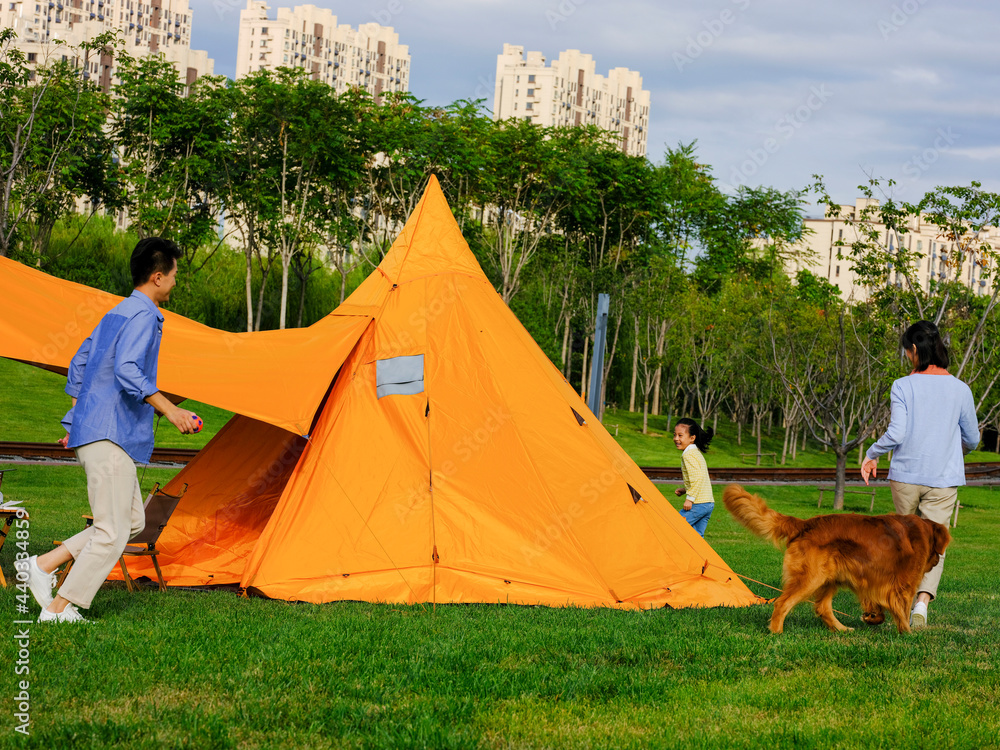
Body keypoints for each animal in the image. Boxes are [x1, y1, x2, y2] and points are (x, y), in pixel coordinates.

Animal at [724, 488, 948, 636]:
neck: (923, 531)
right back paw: (776, 632)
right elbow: (902, 608)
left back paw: (841, 629)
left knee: (822, 608)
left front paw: (871, 617)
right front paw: (907, 633)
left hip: (829, 577)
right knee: (782, 602)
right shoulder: (904, 585)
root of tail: (804, 523)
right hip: (812, 577)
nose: (937, 561)